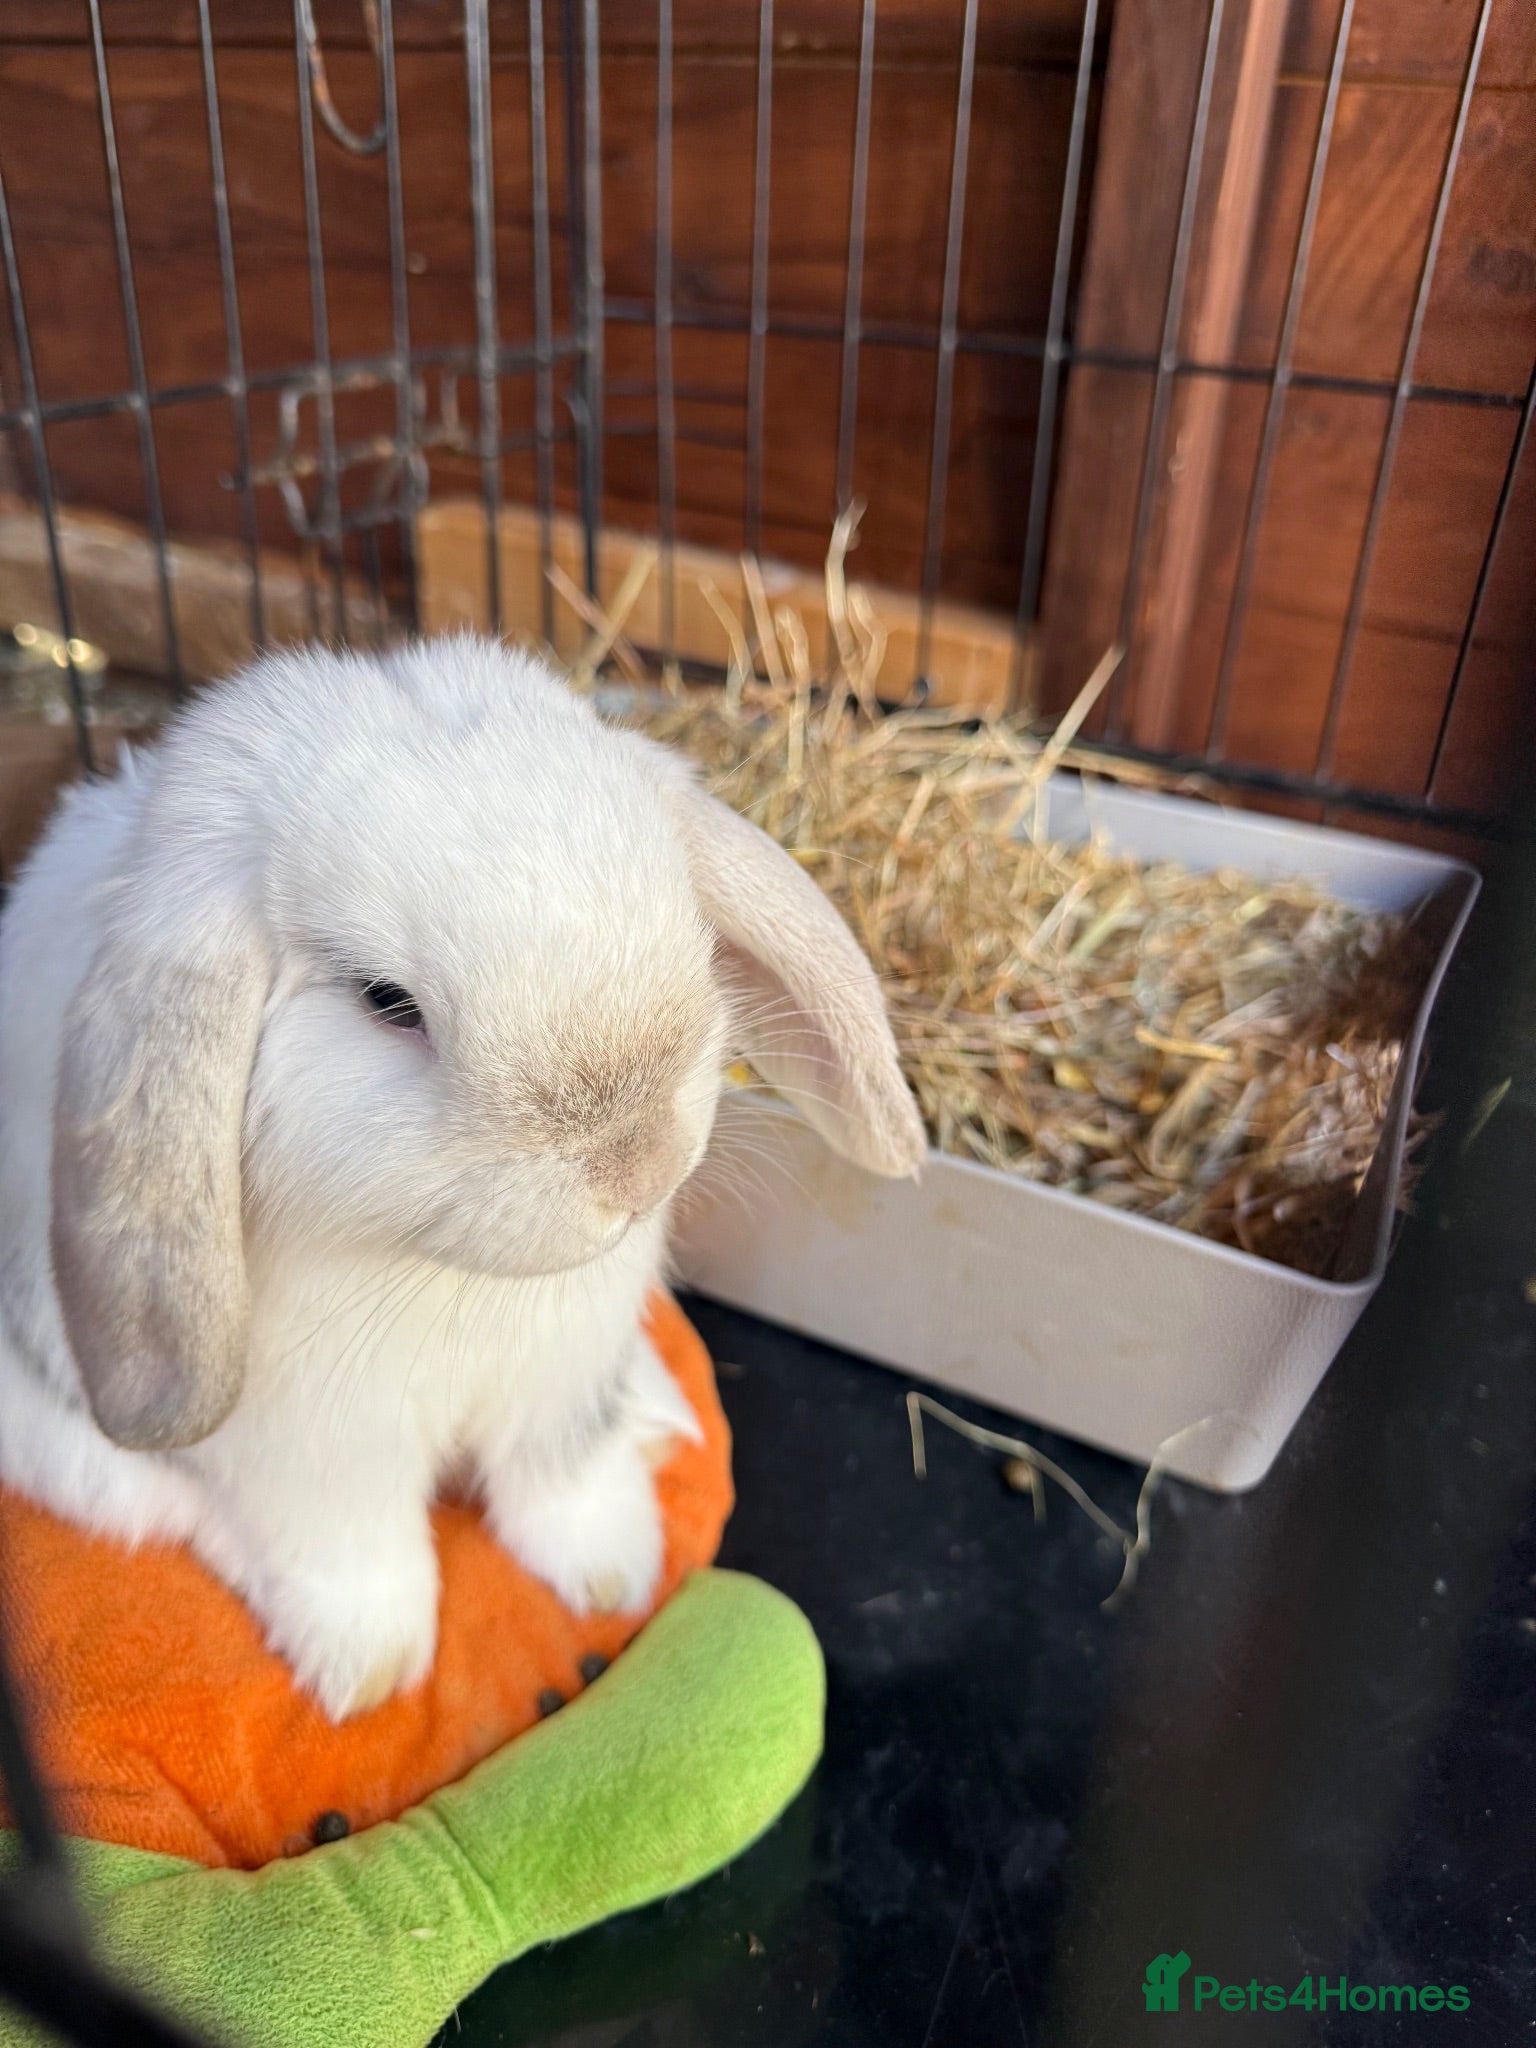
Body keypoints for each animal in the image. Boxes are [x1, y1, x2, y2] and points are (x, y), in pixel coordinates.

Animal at [0, 637, 924, 1720]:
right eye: (386, 1001)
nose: (636, 1166)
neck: (453, 1280)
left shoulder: (568, 1377)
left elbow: (564, 1483)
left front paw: (614, 1573)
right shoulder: (313, 1456)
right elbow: (351, 1556)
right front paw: (367, 1674)